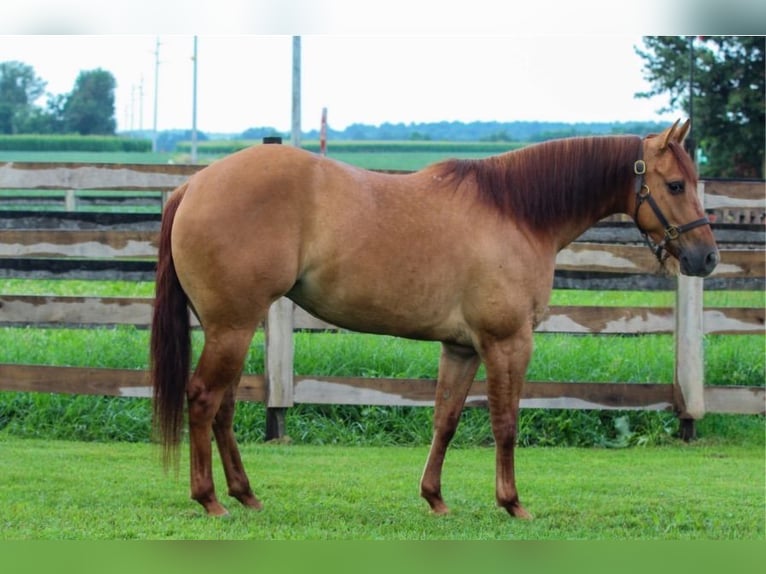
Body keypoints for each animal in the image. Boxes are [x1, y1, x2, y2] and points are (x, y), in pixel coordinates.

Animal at [150, 119, 719, 518]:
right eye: (674, 185)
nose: (707, 258)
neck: (516, 212)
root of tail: (193, 186)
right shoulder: (507, 342)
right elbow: (505, 423)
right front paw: (512, 502)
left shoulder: (462, 347)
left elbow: (445, 419)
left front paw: (435, 498)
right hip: (232, 327)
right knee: (203, 399)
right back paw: (210, 499)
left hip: (231, 327)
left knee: (222, 406)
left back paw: (245, 494)